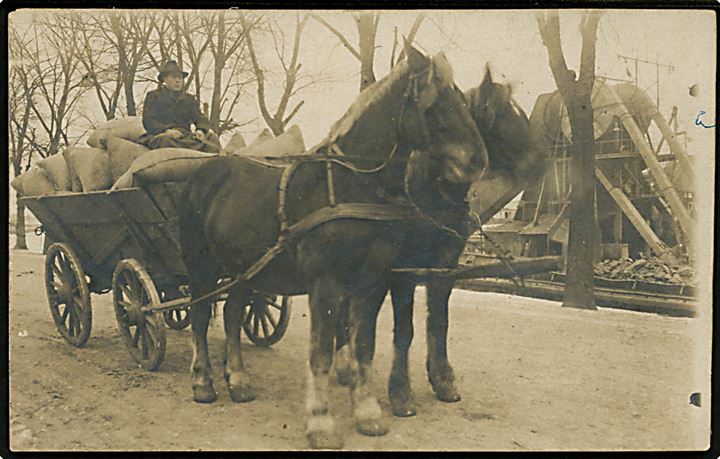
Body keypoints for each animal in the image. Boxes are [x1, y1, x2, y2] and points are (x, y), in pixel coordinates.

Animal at [179, 45, 490, 450]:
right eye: (435, 105)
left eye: (463, 102)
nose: (478, 161)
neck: (351, 184)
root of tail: (202, 173)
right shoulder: (327, 284)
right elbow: (322, 352)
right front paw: (321, 422)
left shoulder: (372, 283)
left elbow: (363, 346)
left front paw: (368, 413)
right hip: (202, 267)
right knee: (201, 317)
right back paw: (203, 382)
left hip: (247, 270)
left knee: (232, 314)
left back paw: (239, 380)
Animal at [336, 65, 544, 420]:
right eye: (504, 116)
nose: (541, 162)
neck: (431, 190)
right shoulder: (403, 269)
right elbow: (405, 331)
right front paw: (401, 393)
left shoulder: (445, 264)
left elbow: (439, 322)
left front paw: (443, 378)